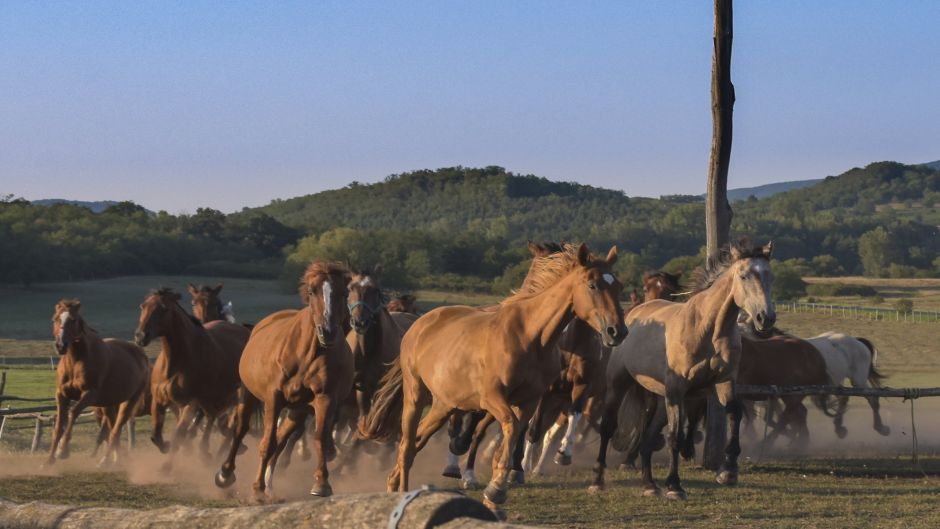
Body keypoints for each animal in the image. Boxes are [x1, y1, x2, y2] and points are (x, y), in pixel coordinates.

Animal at [47, 300, 150, 464]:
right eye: (55, 319)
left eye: (73, 320)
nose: (60, 345)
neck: (76, 361)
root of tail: (142, 356)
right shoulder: (62, 395)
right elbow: (58, 427)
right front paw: (49, 461)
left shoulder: (90, 394)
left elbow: (73, 412)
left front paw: (62, 450)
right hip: (109, 405)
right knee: (112, 429)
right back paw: (114, 459)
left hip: (128, 402)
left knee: (116, 430)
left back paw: (108, 461)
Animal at [134, 288, 250, 466]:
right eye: (143, 306)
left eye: (163, 309)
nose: (140, 336)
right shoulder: (159, 400)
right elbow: (156, 436)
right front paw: (167, 446)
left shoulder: (191, 403)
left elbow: (179, 433)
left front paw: (168, 463)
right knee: (212, 417)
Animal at [215, 260, 354, 500]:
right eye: (312, 291)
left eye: (344, 293)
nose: (327, 332)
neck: (306, 354)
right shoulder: (274, 397)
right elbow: (267, 442)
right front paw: (257, 488)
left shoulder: (324, 398)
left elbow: (319, 438)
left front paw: (322, 484)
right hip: (249, 394)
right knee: (241, 430)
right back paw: (226, 474)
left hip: (298, 410)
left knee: (281, 439)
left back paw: (270, 483)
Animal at [360, 243, 624, 516]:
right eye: (592, 285)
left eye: (619, 287)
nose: (617, 331)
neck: (530, 337)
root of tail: (418, 324)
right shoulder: (492, 398)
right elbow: (509, 428)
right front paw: (496, 490)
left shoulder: (529, 402)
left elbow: (511, 439)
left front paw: (495, 500)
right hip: (415, 395)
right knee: (406, 446)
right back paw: (402, 492)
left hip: (444, 405)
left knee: (416, 442)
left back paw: (393, 485)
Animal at [592, 241, 776, 502]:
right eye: (744, 276)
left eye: (770, 275)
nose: (765, 319)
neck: (708, 329)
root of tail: (632, 316)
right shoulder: (678, 390)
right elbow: (675, 437)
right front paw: (674, 486)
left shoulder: (724, 381)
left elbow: (734, 415)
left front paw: (728, 471)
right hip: (620, 385)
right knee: (608, 426)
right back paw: (597, 480)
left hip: (661, 399)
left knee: (648, 437)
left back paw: (649, 484)